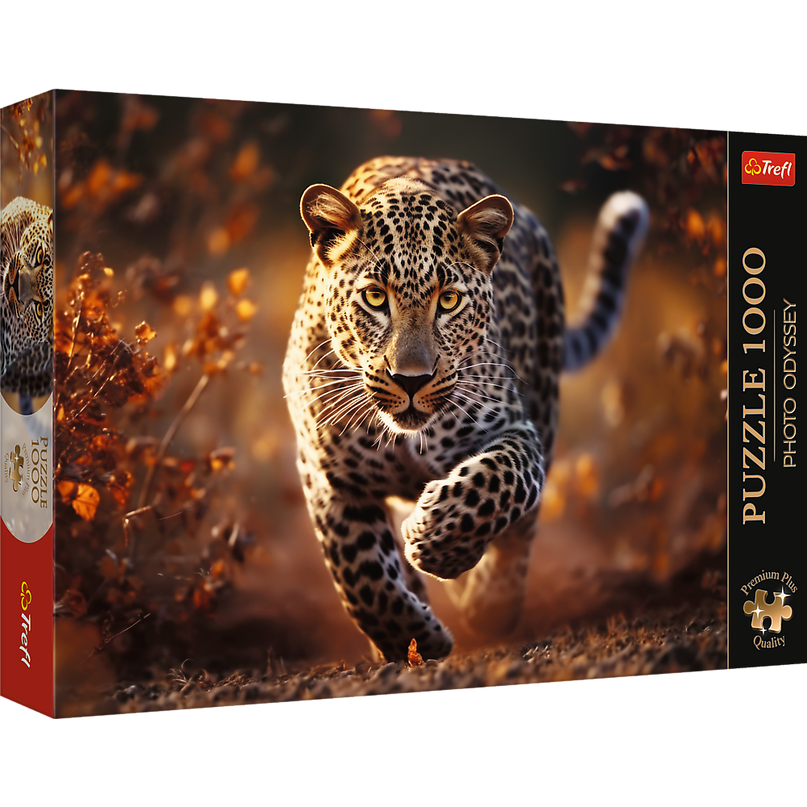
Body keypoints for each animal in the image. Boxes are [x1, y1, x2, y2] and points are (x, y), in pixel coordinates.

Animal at [283, 157, 648, 663]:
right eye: (375, 297)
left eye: (449, 300)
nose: (411, 379)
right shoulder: (327, 475)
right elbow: (360, 573)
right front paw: (412, 639)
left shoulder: (516, 429)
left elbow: (499, 482)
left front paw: (436, 539)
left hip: (546, 398)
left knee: (522, 531)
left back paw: (491, 603)